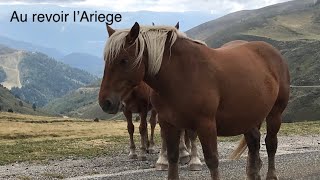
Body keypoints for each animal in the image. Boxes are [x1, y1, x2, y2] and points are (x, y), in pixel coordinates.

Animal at [99, 22, 290, 180]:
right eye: (106, 60)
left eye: (124, 60)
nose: (105, 102)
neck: (182, 75)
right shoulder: (168, 123)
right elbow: (173, 157)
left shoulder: (206, 124)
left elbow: (212, 160)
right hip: (249, 116)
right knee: (254, 142)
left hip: (274, 114)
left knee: (270, 144)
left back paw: (271, 175)